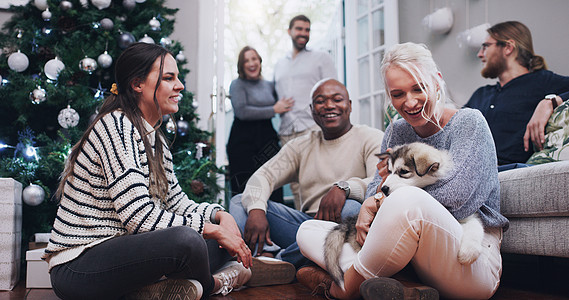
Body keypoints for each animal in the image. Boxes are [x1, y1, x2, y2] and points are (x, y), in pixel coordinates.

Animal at [324, 142, 484, 288]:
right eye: (389, 171)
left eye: (403, 171)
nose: (383, 188)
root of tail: (350, 222)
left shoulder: (465, 213)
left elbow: (476, 225)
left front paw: (469, 252)